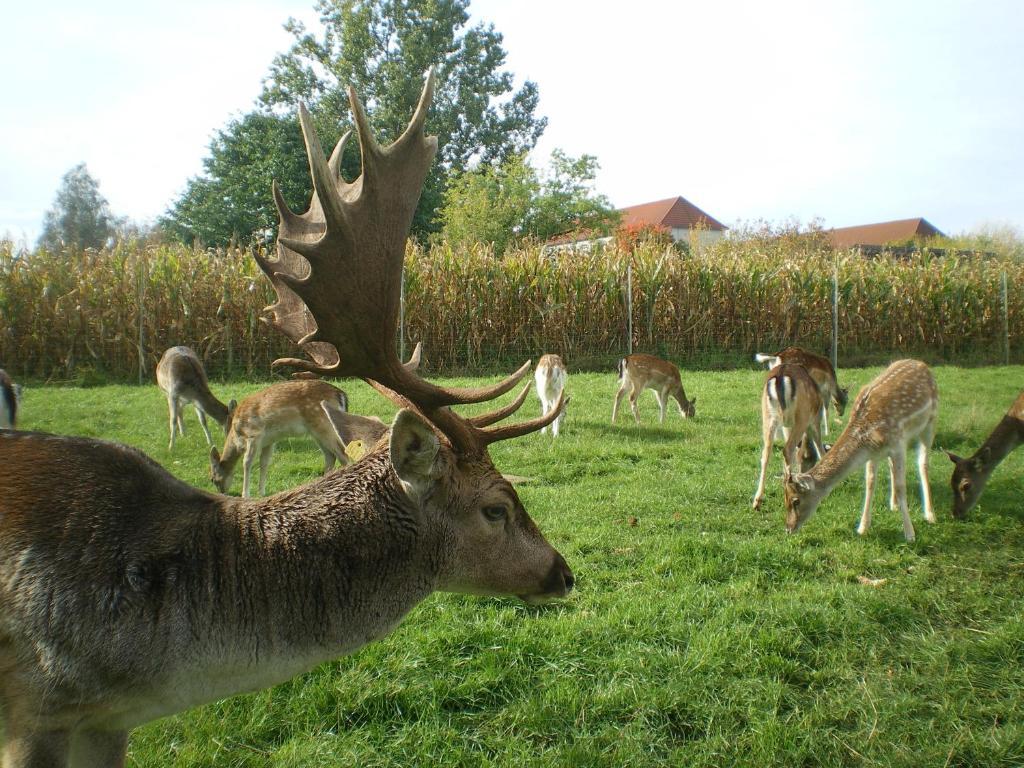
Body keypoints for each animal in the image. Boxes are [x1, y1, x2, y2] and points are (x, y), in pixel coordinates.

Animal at [753, 366, 823, 512]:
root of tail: (780, 378)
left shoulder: (787, 426)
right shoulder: (814, 420)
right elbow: (819, 446)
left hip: (768, 416)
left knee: (766, 453)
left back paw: (757, 501)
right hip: (802, 416)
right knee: (787, 449)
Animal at [782, 360, 937, 540]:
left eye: (796, 500)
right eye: (784, 499)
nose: (788, 529)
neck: (867, 436)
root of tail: (921, 363)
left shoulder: (897, 444)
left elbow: (901, 486)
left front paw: (910, 534)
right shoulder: (874, 452)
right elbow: (870, 482)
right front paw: (863, 528)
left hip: (931, 421)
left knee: (923, 463)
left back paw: (930, 514)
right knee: (892, 467)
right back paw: (894, 504)